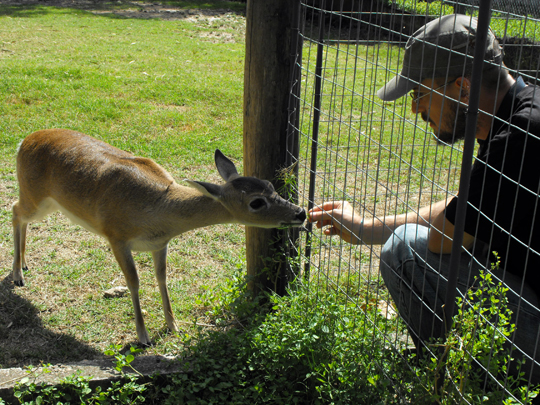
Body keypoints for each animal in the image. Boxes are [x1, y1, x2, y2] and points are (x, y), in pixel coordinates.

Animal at [12, 129, 306, 344]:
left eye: (269, 184)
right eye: (256, 202)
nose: (301, 212)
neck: (157, 211)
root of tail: (23, 141)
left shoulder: (160, 243)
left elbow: (162, 277)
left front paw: (174, 325)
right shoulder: (115, 235)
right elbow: (133, 282)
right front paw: (143, 336)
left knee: (18, 212)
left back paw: (24, 265)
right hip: (35, 195)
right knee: (15, 210)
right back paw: (17, 275)